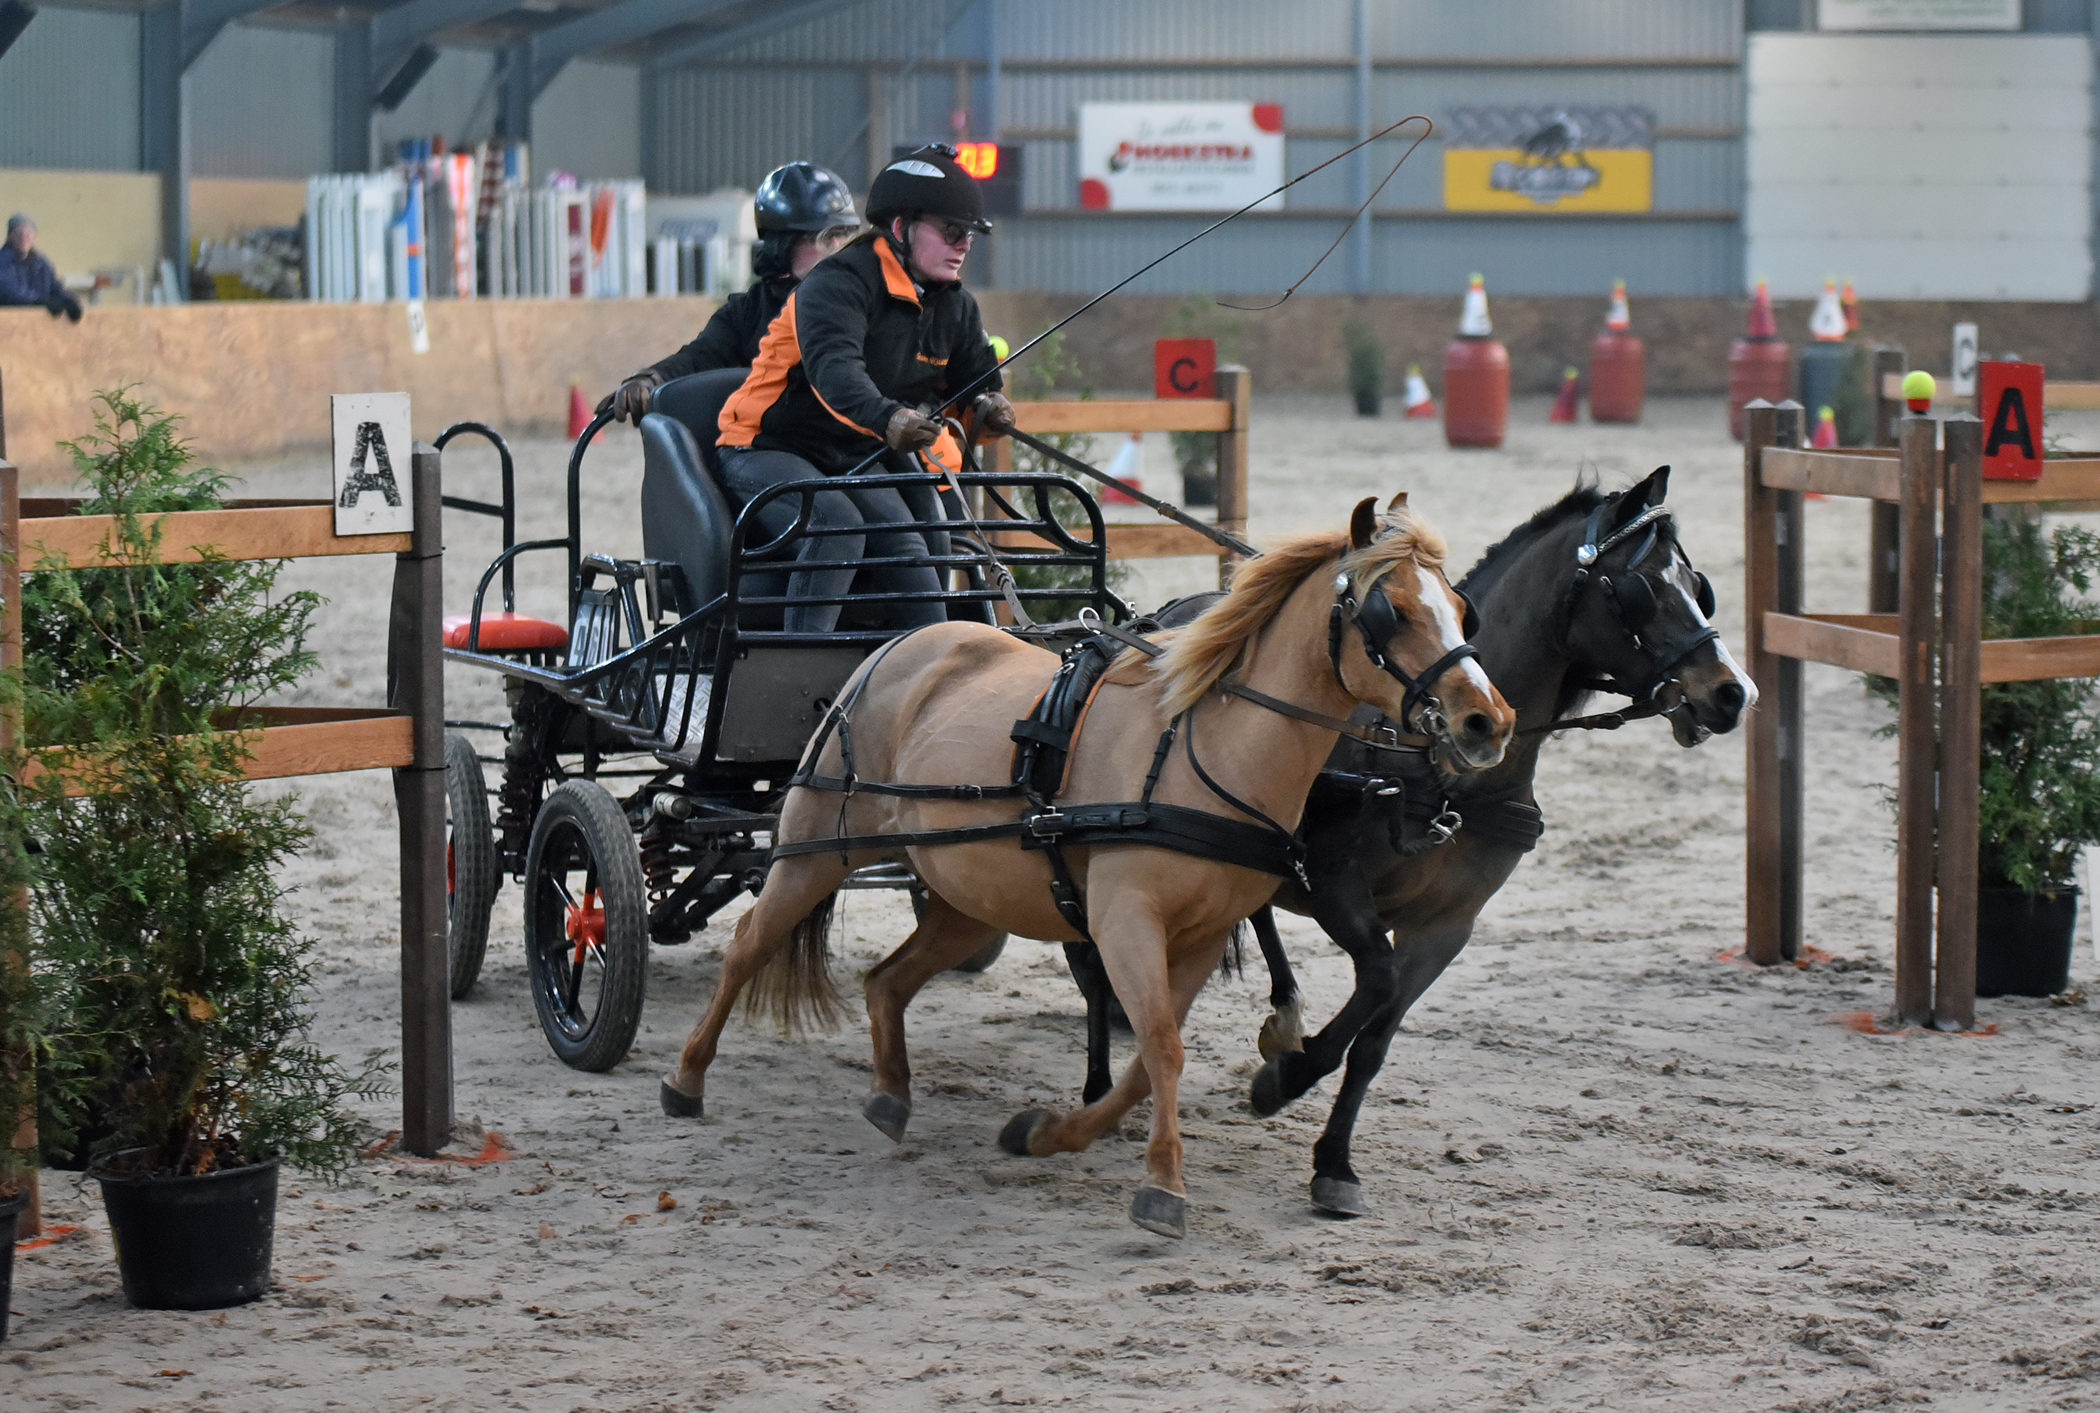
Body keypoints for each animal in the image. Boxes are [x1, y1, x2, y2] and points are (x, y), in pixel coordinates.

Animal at [659, 495, 1511, 1234]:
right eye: (1391, 611)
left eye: (1461, 607)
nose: (1487, 720)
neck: (1206, 751)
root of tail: (904, 643)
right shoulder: (1126, 916)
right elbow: (1161, 1044)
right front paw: (1163, 1185)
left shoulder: (1203, 934)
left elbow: (1149, 1057)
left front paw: (1050, 1133)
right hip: (818, 846)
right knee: (749, 945)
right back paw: (685, 1078)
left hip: (965, 895)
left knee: (887, 980)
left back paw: (890, 1095)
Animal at [1066, 461, 1755, 1209]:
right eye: (1636, 588)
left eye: (1696, 583)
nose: (1733, 692)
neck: (1438, 769)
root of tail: (1164, 615)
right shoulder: (1335, 885)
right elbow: (1375, 979)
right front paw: (1284, 1080)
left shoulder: (1447, 926)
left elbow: (1376, 1037)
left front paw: (1334, 1161)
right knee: (1095, 958)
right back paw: (1099, 1085)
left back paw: (1282, 1014)